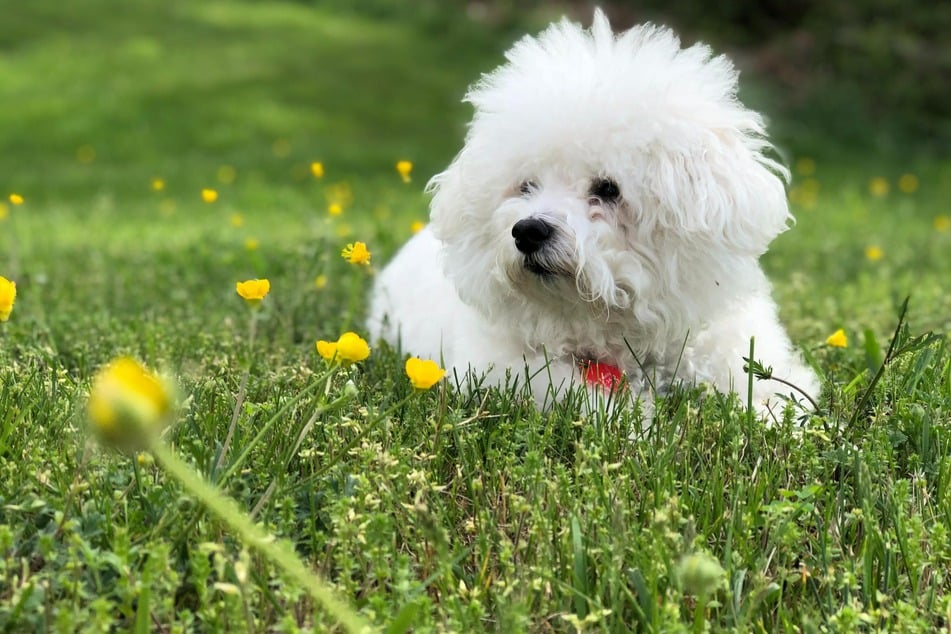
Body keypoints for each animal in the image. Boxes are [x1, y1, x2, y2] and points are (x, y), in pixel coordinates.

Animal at [368, 11, 820, 414]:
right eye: (526, 186)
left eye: (607, 189)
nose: (527, 231)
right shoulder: (503, 367)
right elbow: (575, 396)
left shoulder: (728, 343)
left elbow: (771, 390)